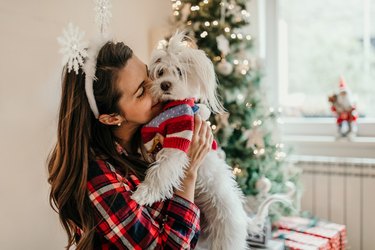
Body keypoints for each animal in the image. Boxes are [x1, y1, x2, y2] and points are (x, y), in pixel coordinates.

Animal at [132, 32, 290, 250]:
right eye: (161, 71)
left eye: (179, 72)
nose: (165, 85)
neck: (171, 107)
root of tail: (243, 217)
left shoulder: (179, 140)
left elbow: (161, 171)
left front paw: (143, 193)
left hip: (226, 239)